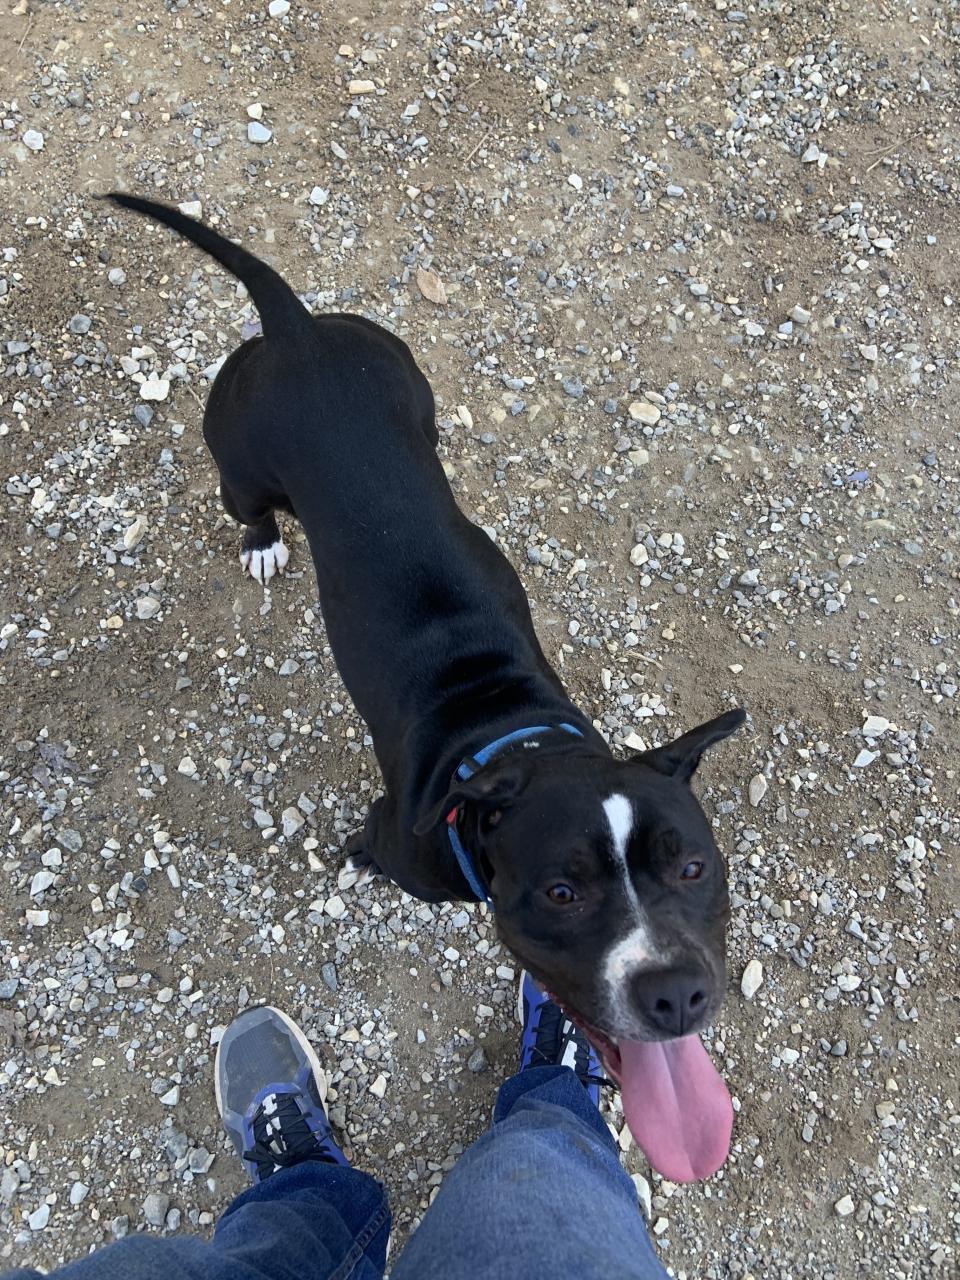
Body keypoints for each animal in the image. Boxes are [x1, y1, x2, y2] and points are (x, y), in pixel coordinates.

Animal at [105, 193, 745, 1181]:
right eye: (562, 892)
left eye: (693, 866)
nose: (675, 992)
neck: (516, 733)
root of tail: (295, 331)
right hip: (238, 464)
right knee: (246, 502)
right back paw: (262, 542)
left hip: (408, 381)